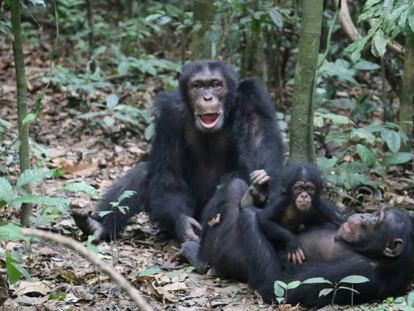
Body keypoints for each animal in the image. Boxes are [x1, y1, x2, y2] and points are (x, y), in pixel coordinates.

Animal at [72, 59, 284, 243]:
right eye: (198, 85)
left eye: (216, 84)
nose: (208, 97)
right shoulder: (169, 115)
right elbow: (169, 173)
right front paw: (184, 224)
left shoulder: (252, 98)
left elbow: (260, 152)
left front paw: (260, 189)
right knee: (143, 173)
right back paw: (97, 226)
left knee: (233, 178)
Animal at [183, 179, 414, 308]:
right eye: (375, 213)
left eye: (376, 220)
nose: (364, 214)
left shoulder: (359, 271)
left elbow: (276, 284)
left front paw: (252, 213)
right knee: (235, 184)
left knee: (231, 191)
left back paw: (197, 255)